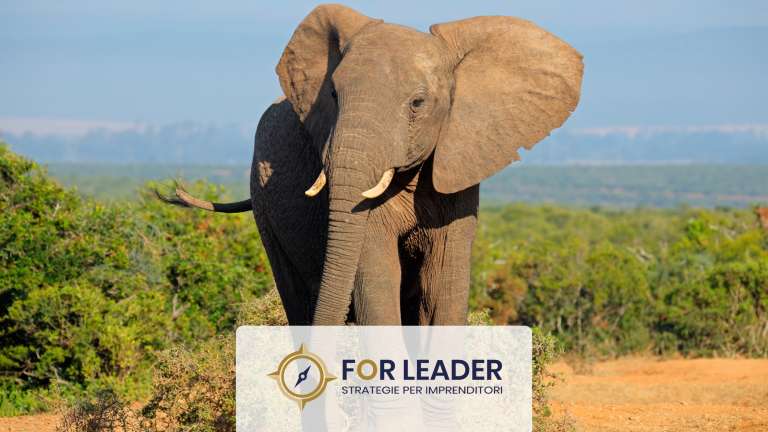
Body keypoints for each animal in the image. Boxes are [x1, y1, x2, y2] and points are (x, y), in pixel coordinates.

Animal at [160, 4, 583, 326]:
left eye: (417, 103)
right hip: (264, 207)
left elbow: (442, 288)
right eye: (333, 93)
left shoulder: (458, 166)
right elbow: (378, 285)